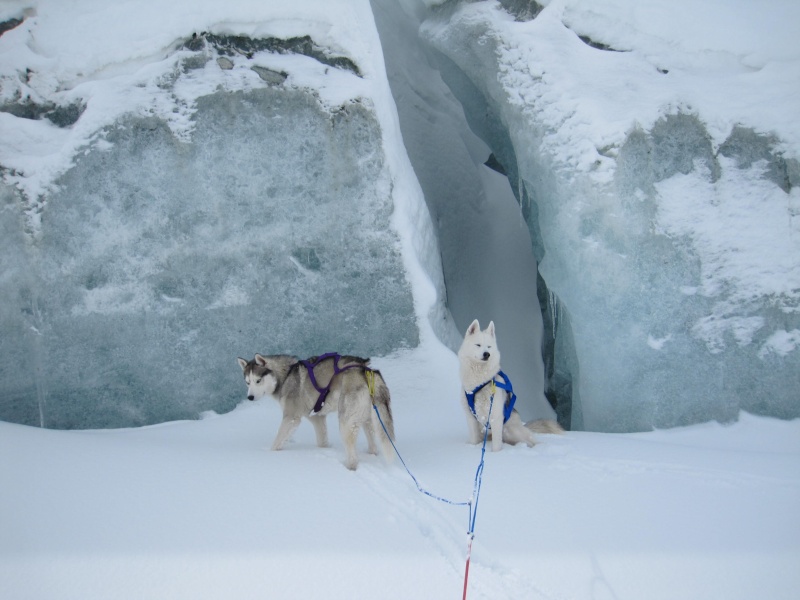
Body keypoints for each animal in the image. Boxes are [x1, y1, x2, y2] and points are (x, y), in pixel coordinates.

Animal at [456, 318, 564, 450]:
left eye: (489, 347)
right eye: (478, 345)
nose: (487, 354)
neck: (479, 383)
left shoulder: (495, 417)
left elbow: (497, 445)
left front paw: (496, 453)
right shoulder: (471, 418)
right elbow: (474, 440)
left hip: (511, 430)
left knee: (531, 440)